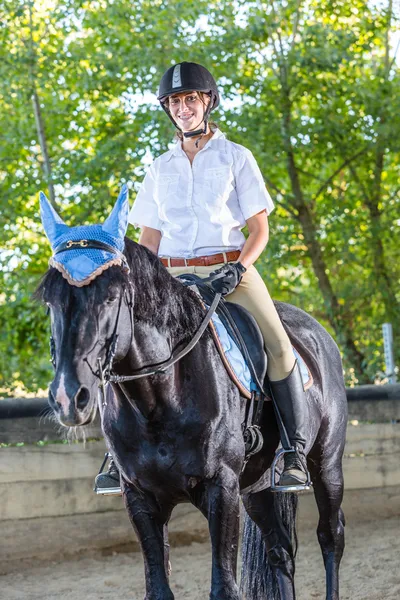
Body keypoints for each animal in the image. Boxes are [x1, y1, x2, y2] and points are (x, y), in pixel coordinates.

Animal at [35, 196, 346, 596]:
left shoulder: (221, 489)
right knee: (281, 550)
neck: (157, 402)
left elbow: (224, 587)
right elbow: (158, 588)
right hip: (258, 488)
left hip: (327, 464)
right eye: (50, 300)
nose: (69, 398)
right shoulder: (140, 499)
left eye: (111, 296)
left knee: (330, 535)